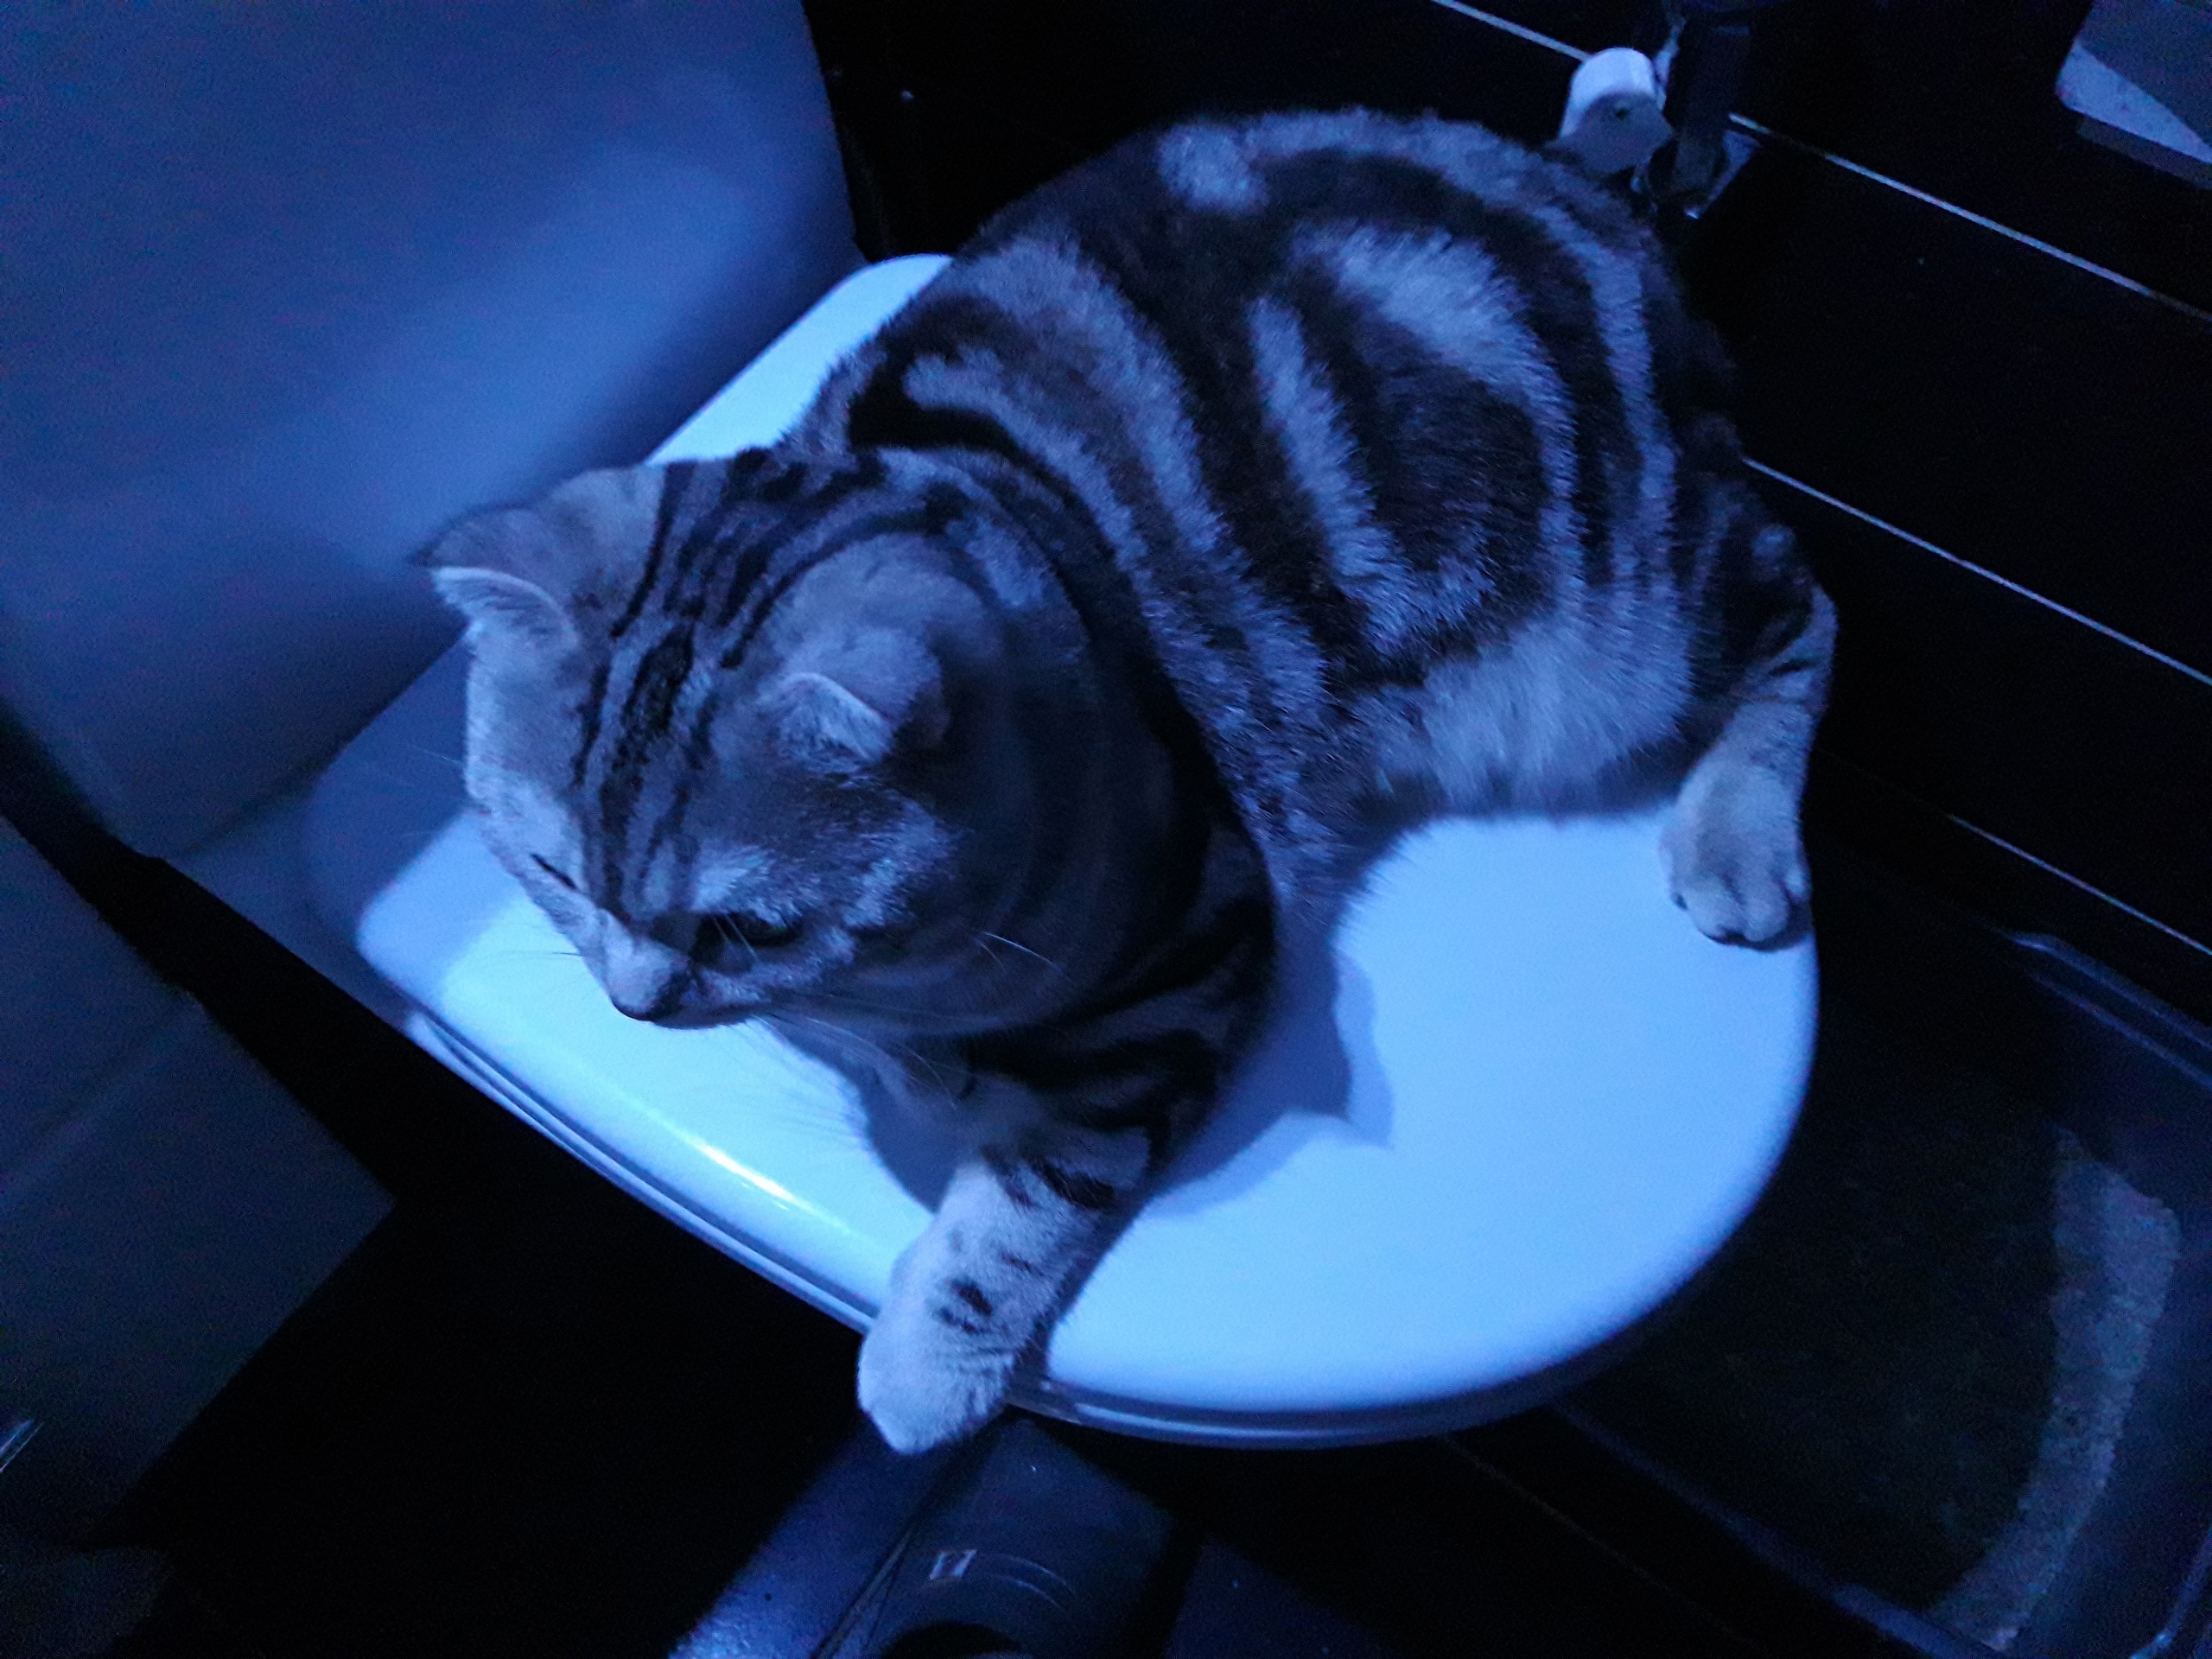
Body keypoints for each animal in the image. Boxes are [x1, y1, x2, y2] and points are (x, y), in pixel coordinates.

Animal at [423, 109, 1834, 1454]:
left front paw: (929, 1364)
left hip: (1624, 622)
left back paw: (1737, 840)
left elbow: (1027, 1205)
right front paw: (899, 1064)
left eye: (749, 923)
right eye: (551, 873)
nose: (633, 1007)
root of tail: (1593, 200)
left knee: (1804, 608)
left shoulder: (1188, 959)